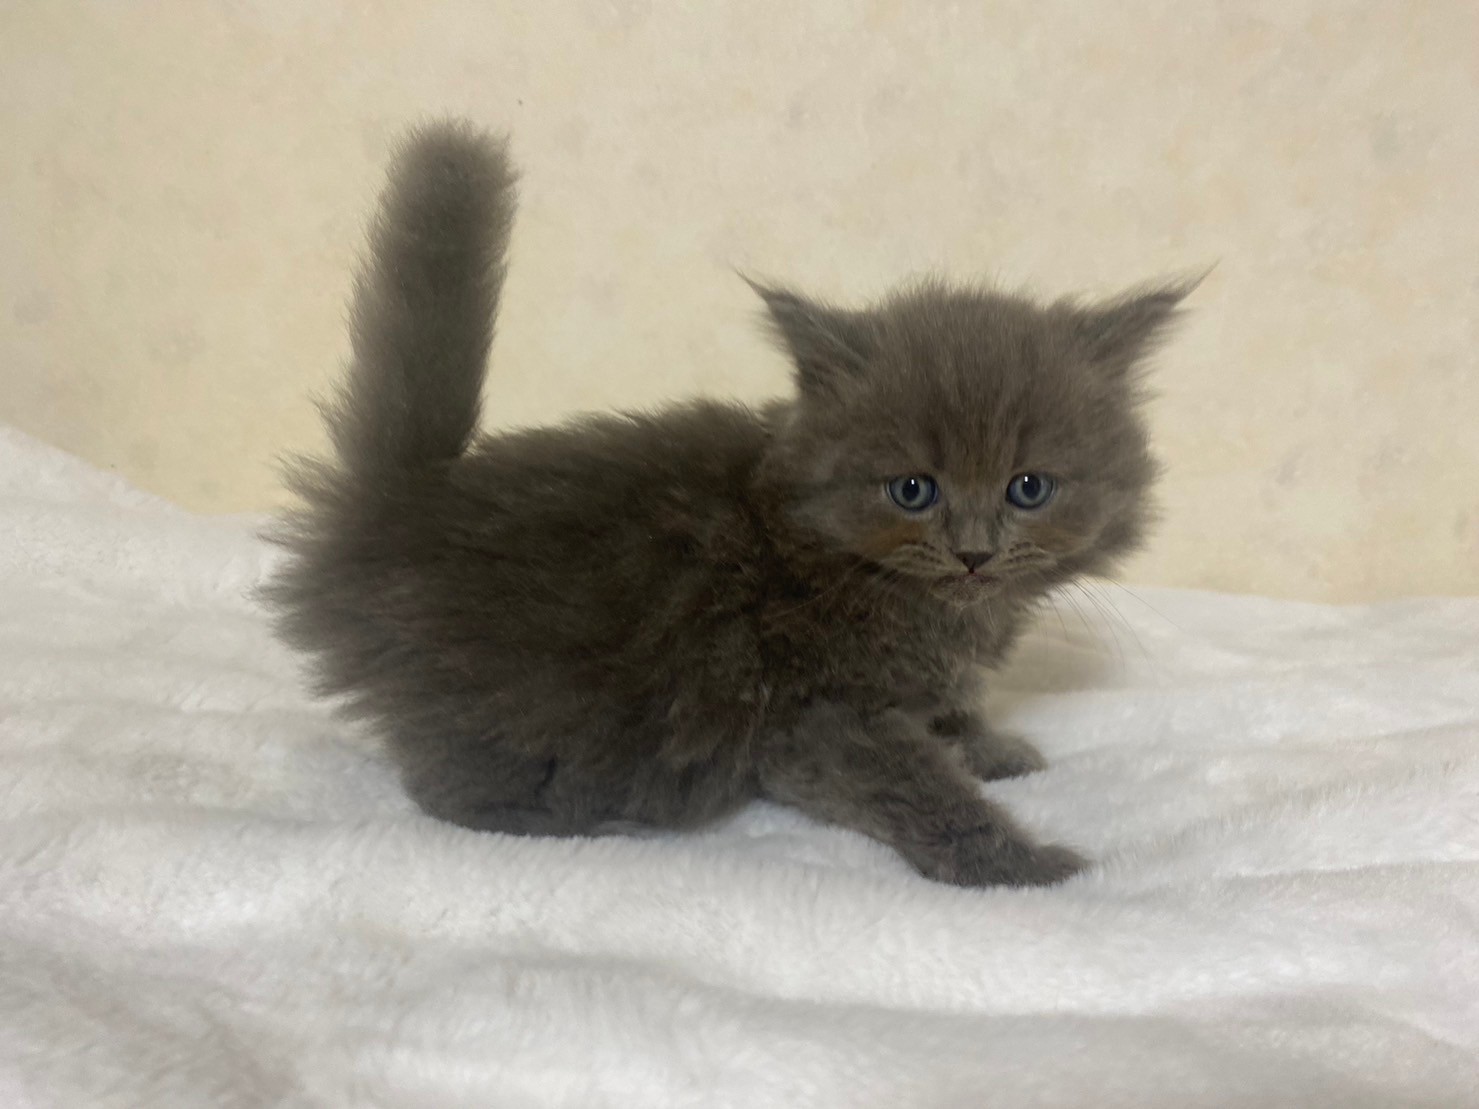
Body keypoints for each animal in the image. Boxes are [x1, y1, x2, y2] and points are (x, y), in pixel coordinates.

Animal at [266, 119, 1191, 887]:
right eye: (912, 490)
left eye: (1028, 487)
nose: (972, 550)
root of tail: (399, 501)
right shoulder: (815, 714)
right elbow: (917, 787)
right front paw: (1020, 865)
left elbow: (950, 713)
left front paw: (990, 745)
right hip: (523, 703)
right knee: (449, 793)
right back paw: (582, 825)